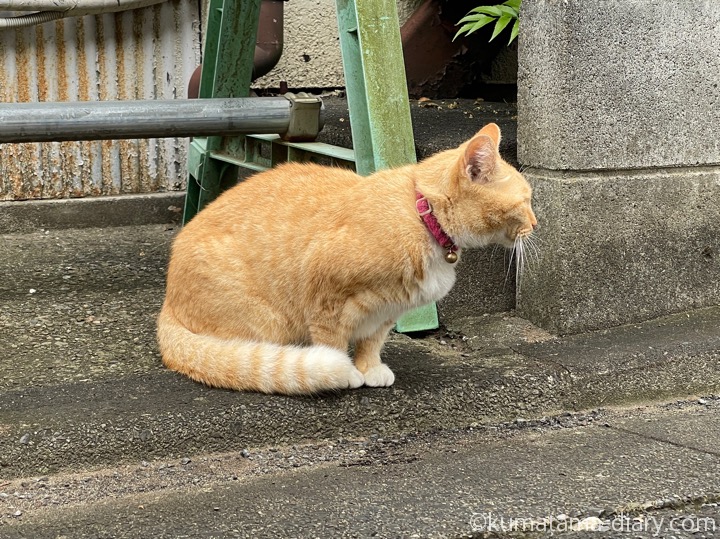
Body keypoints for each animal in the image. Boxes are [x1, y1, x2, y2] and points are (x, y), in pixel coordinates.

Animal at [159, 125, 540, 396]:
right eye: (525, 202)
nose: (537, 224)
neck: (422, 216)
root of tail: (167, 303)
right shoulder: (325, 298)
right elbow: (332, 345)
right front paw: (341, 370)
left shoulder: (385, 311)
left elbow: (372, 343)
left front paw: (369, 368)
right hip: (267, 321)